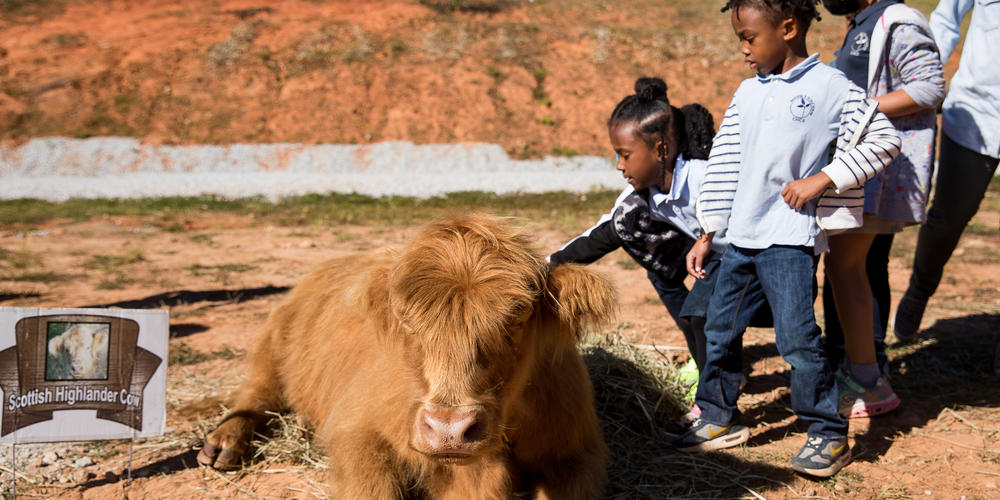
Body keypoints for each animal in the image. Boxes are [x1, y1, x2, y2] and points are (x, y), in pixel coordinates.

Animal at [198, 216, 612, 500]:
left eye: (518, 317)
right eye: (407, 321)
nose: (449, 430)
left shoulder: (577, 454)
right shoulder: (359, 435)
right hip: (272, 343)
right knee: (256, 395)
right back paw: (223, 442)